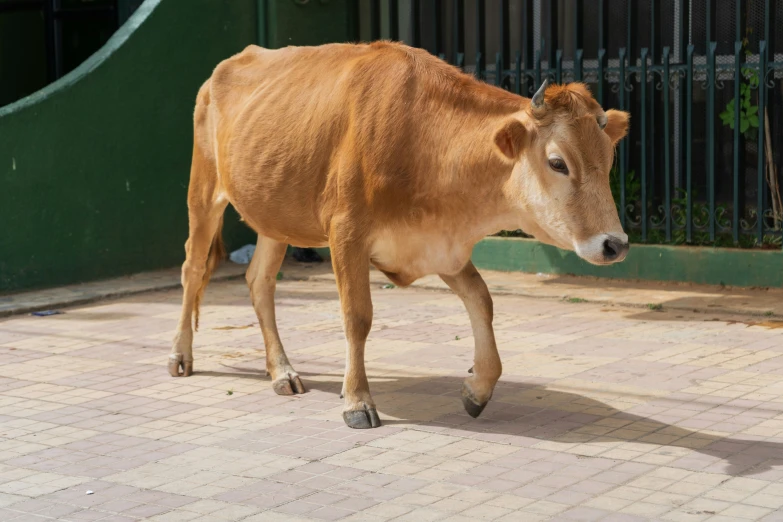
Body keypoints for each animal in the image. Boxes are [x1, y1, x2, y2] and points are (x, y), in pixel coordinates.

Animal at [168, 42, 628, 426]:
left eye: (609, 159)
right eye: (557, 162)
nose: (616, 244)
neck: (425, 143)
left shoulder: (439, 245)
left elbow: (482, 301)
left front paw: (477, 389)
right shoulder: (346, 233)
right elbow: (357, 317)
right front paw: (357, 401)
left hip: (274, 214)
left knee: (259, 281)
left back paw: (282, 371)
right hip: (204, 191)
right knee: (192, 268)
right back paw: (180, 355)